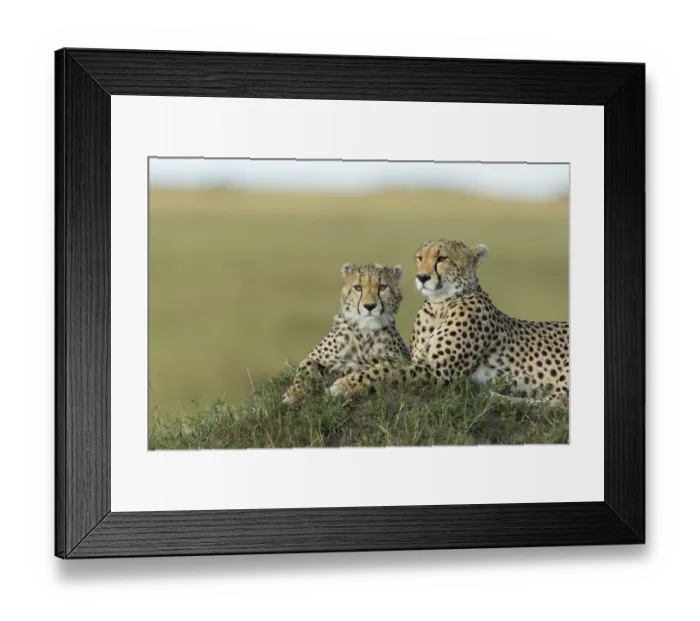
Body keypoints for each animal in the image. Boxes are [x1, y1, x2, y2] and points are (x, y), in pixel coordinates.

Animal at [282, 262, 411, 404]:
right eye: (358, 287)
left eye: (382, 287)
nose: (370, 306)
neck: (364, 331)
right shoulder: (315, 357)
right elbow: (306, 365)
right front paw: (295, 392)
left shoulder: (405, 362)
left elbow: (377, 370)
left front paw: (343, 386)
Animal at [329, 239, 569, 407]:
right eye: (419, 258)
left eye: (442, 258)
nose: (422, 277)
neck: (438, 306)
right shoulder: (420, 360)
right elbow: (382, 362)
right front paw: (342, 366)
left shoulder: (440, 370)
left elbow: (388, 371)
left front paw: (345, 384)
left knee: (557, 405)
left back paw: (494, 396)